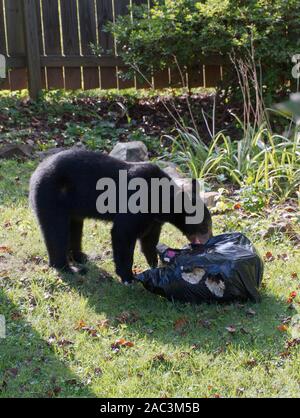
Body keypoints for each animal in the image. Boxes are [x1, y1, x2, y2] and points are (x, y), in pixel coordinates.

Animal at [29, 149, 212, 282]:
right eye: (205, 227)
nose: (209, 240)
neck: (160, 200)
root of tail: (35, 172)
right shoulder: (137, 201)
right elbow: (123, 233)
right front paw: (128, 276)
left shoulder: (153, 219)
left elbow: (149, 239)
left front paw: (155, 264)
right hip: (51, 196)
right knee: (56, 230)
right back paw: (68, 267)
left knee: (74, 227)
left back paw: (80, 257)